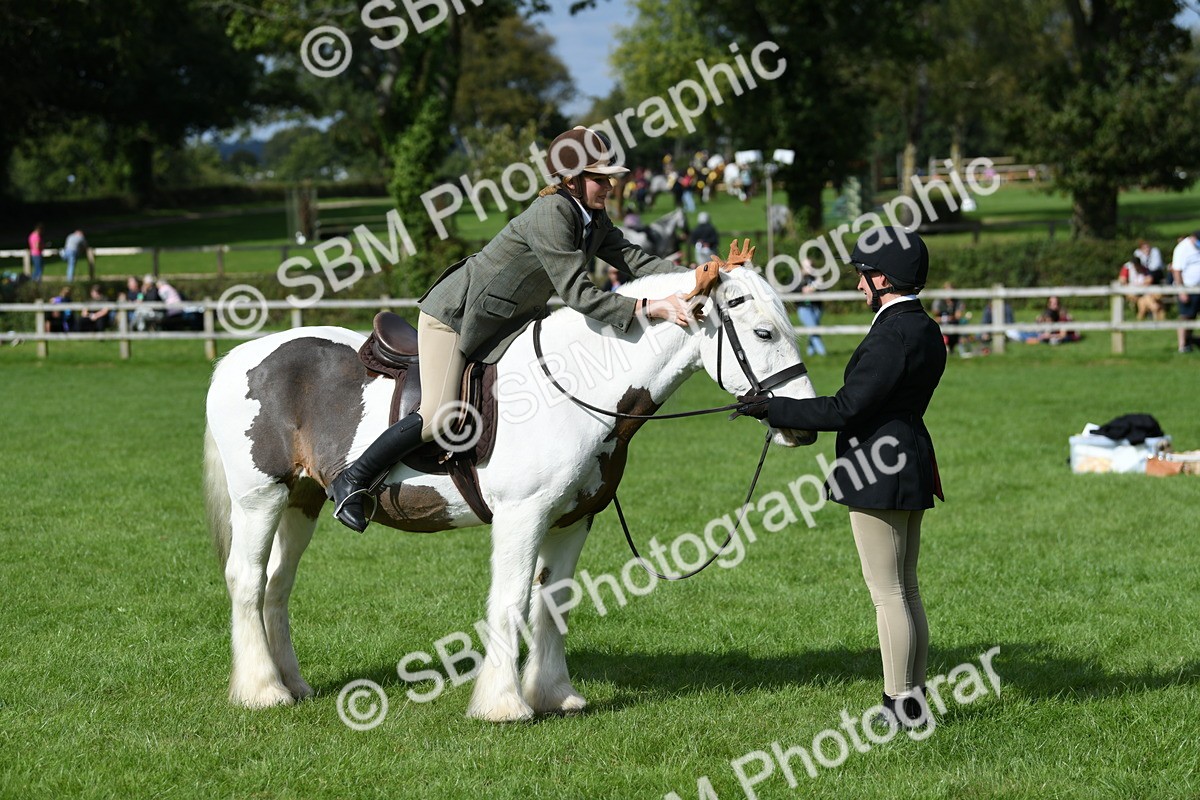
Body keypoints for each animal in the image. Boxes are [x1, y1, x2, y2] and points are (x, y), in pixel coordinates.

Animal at [203, 264, 816, 722]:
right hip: (260, 498)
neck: (576, 386)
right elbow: (512, 600)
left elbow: (554, 601)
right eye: (763, 333)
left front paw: (553, 695)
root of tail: (238, 358)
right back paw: (263, 691)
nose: (804, 425)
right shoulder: (524, 515)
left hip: (301, 500)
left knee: (276, 585)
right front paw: (503, 704)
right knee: (246, 580)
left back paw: (292, 684)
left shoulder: (573, 520)